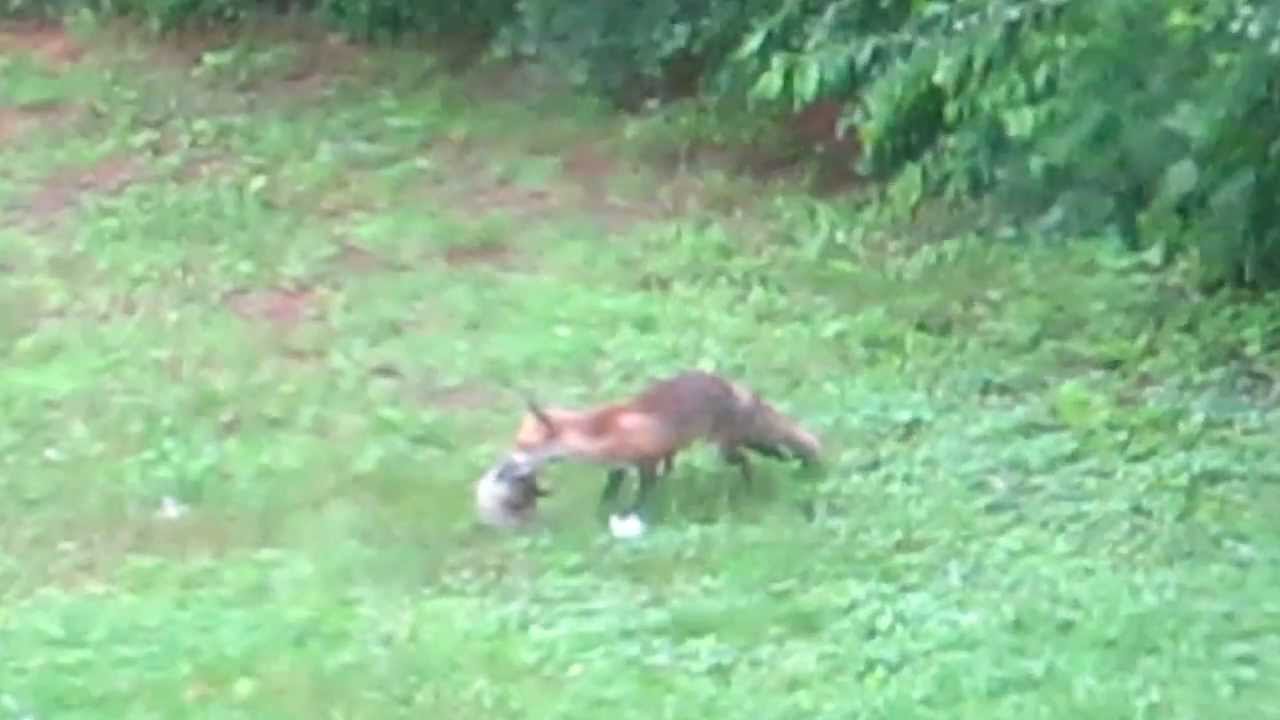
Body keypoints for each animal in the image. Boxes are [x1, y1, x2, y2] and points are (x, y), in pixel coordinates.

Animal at [499, 370, 823, 518]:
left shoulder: (648, 461)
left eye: (523, 446)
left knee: (752, 459)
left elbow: (643, 495)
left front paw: (635, 515)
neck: (602, 432)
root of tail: (730, 384)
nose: (502, 471)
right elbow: (609, 492)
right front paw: (603, 513)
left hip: (725, 448)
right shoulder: (621, 466)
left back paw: (756, 486)